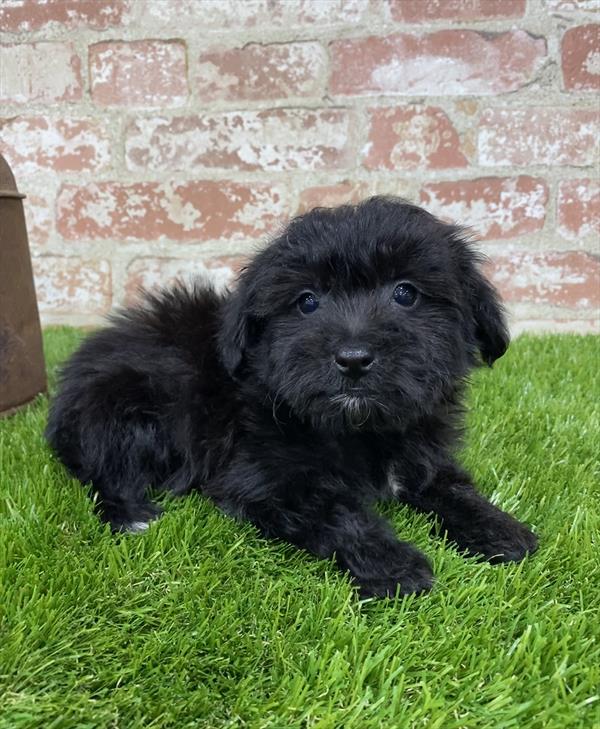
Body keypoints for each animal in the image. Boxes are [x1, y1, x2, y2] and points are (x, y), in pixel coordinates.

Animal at [44, 196, 536, 596]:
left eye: (405, 293)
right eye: (307, 302)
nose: (353, 358)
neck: (360, 428)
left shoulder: (422, 453)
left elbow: (452, 486)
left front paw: (500, 529)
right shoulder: (262, 476)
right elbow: (333, 509)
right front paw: (392, 564)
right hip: (131, 413)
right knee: (105, 471)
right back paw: (131, 516)